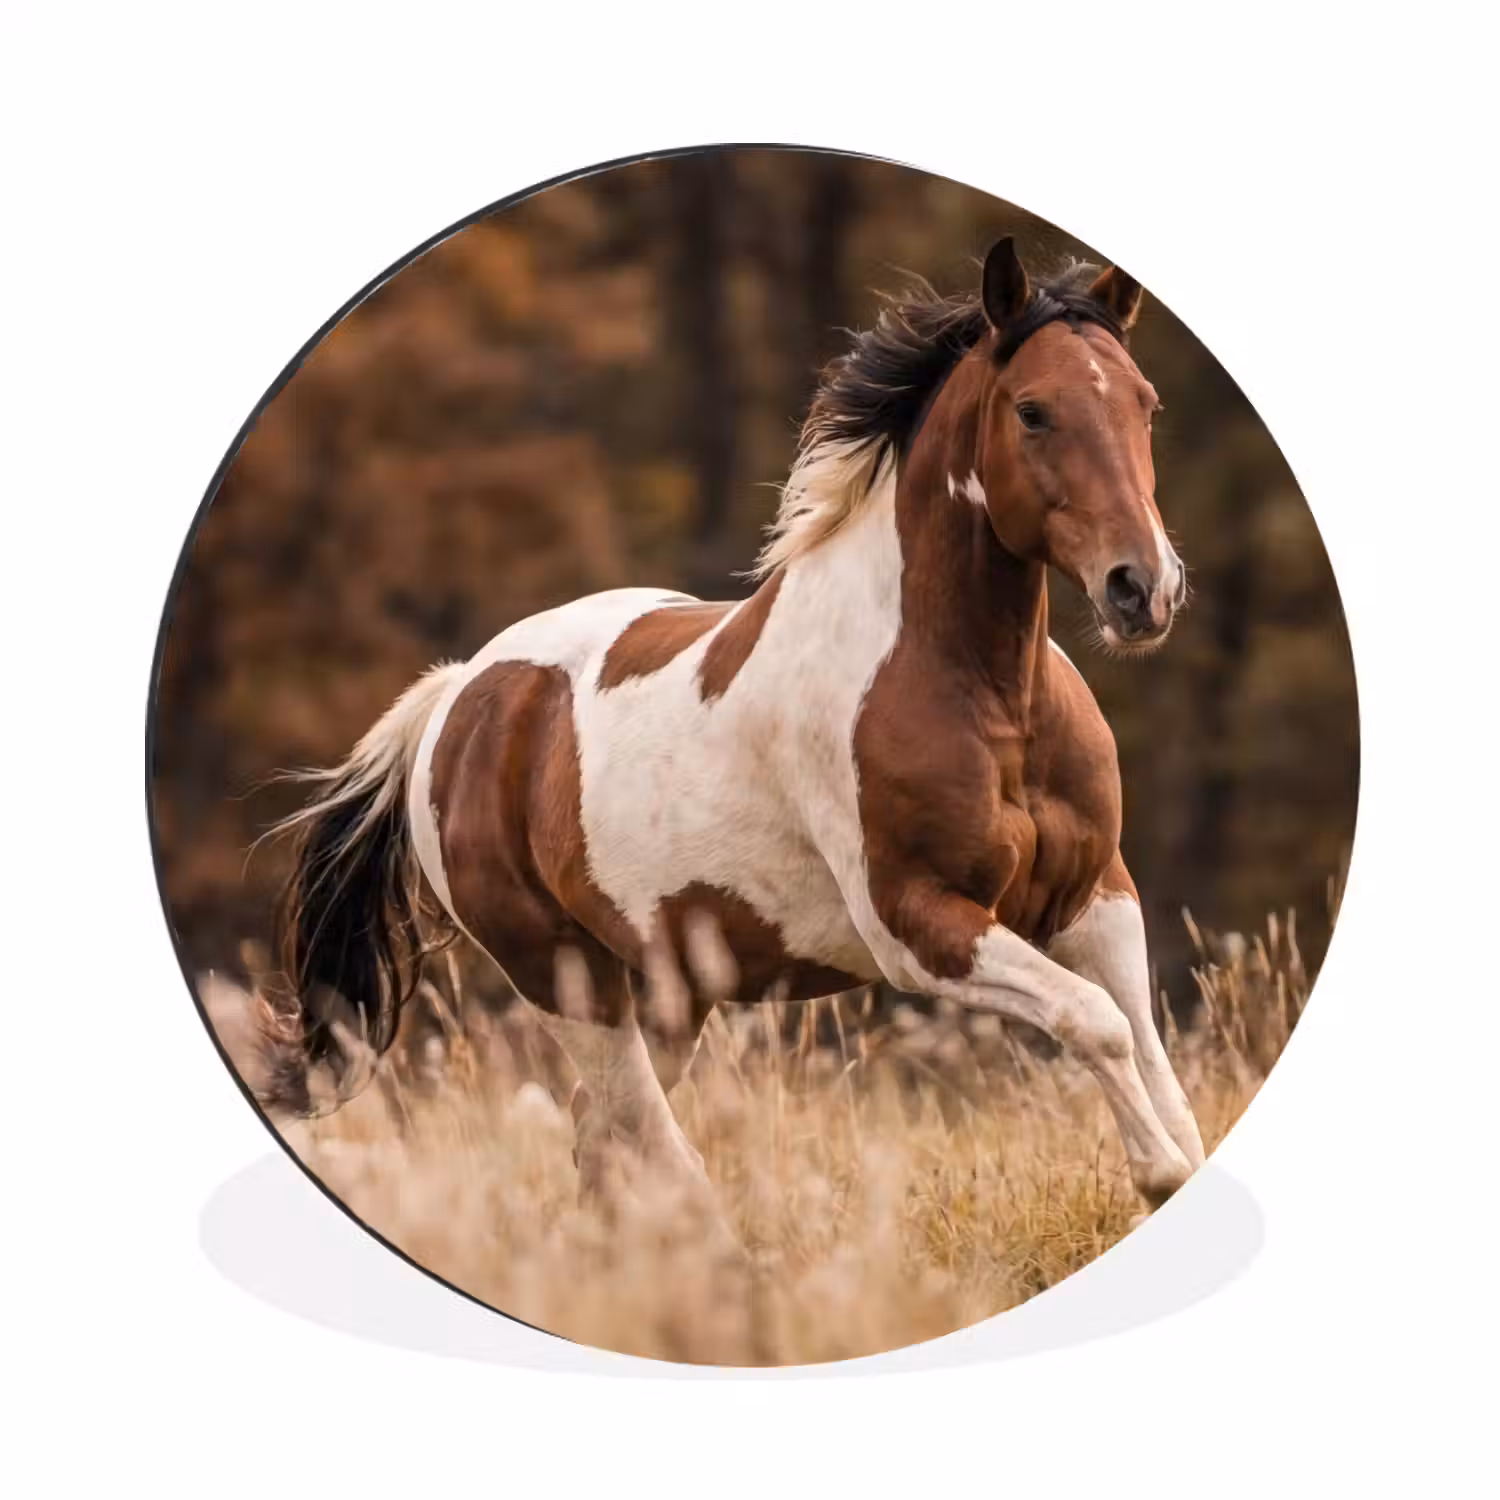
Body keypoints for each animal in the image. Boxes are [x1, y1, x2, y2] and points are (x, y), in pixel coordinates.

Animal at [263, 237, 1206, 1215]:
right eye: (1033, 411)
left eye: (1144, 404)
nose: (1142, 588)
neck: (988, 700)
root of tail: (457, 697)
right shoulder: (918, 927)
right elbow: (1096, 1023)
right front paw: (1157, 1176)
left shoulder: (1096, 898)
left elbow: (1147, 1046)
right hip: (566, 977)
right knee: (645, 1141)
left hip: (670, 990)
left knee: (604, 1138)